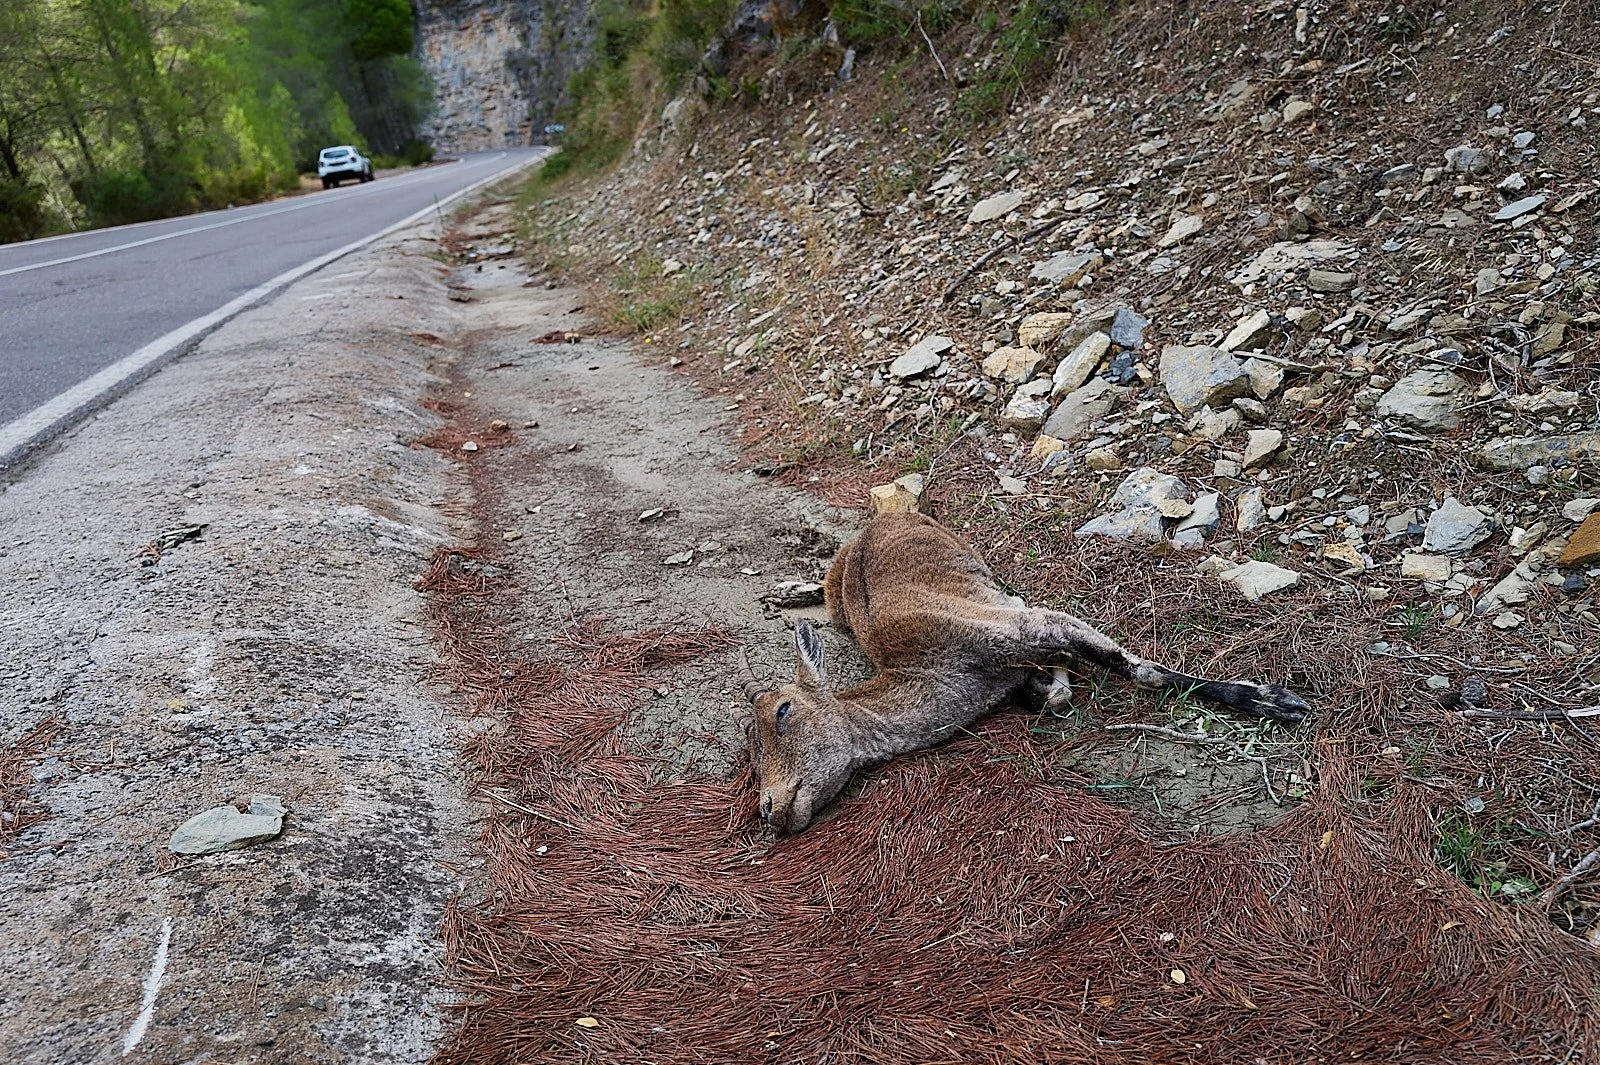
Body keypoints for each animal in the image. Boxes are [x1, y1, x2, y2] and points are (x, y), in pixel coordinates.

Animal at [737, 511, 1308, 833]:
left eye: (782, 710)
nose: (769, 808)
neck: (943, 670)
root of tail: (883, 519)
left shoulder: (1022, 624)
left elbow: (1136, 669)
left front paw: (1277, 700)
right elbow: (1055, 691)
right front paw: (1047, 690)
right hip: (842, 595)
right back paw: (786, 591)